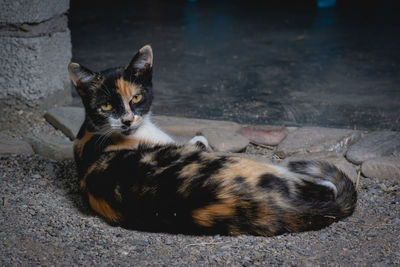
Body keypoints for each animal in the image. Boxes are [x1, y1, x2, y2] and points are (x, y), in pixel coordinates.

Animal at [68, 45, 356, 237]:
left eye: (136, 98)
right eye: (106, 106)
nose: (127, 120)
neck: (93, 131)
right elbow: (199, 139)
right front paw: (200, 138)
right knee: (327, 187)